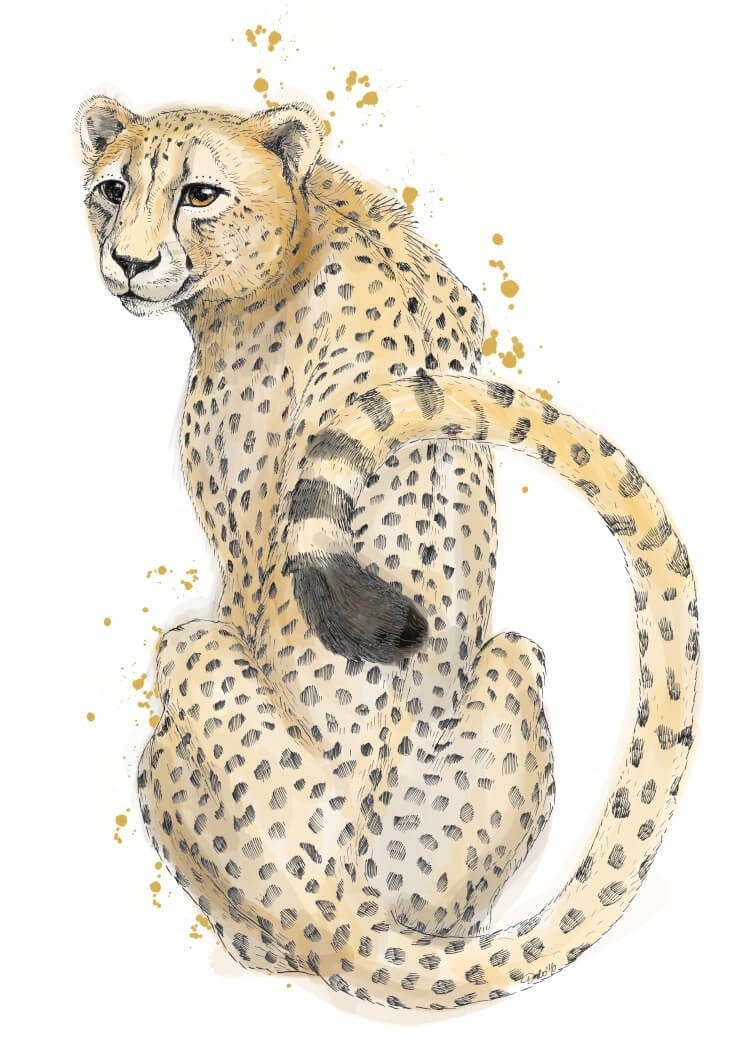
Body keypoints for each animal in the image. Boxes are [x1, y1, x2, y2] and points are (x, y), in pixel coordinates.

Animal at [78, 95, 698, 1011]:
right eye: (112, 189)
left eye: (201, 193)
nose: (129, 262)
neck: (312, 224)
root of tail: (340, 914)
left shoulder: (245, 556)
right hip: (512, 669)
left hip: (185, 687)